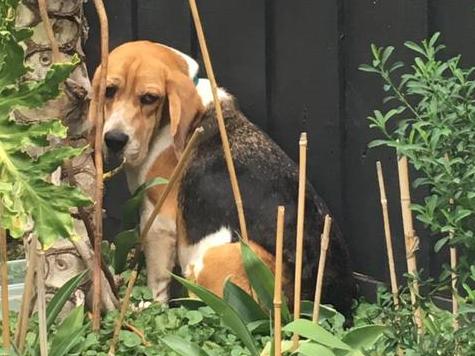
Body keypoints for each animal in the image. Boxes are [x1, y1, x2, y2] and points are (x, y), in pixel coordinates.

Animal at [90, 40, 356, 318]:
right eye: (109, 90)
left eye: (149, 98)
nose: (115, 139)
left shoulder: (159, 219)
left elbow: (157, 278)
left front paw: (150, 306)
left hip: (215, 257)